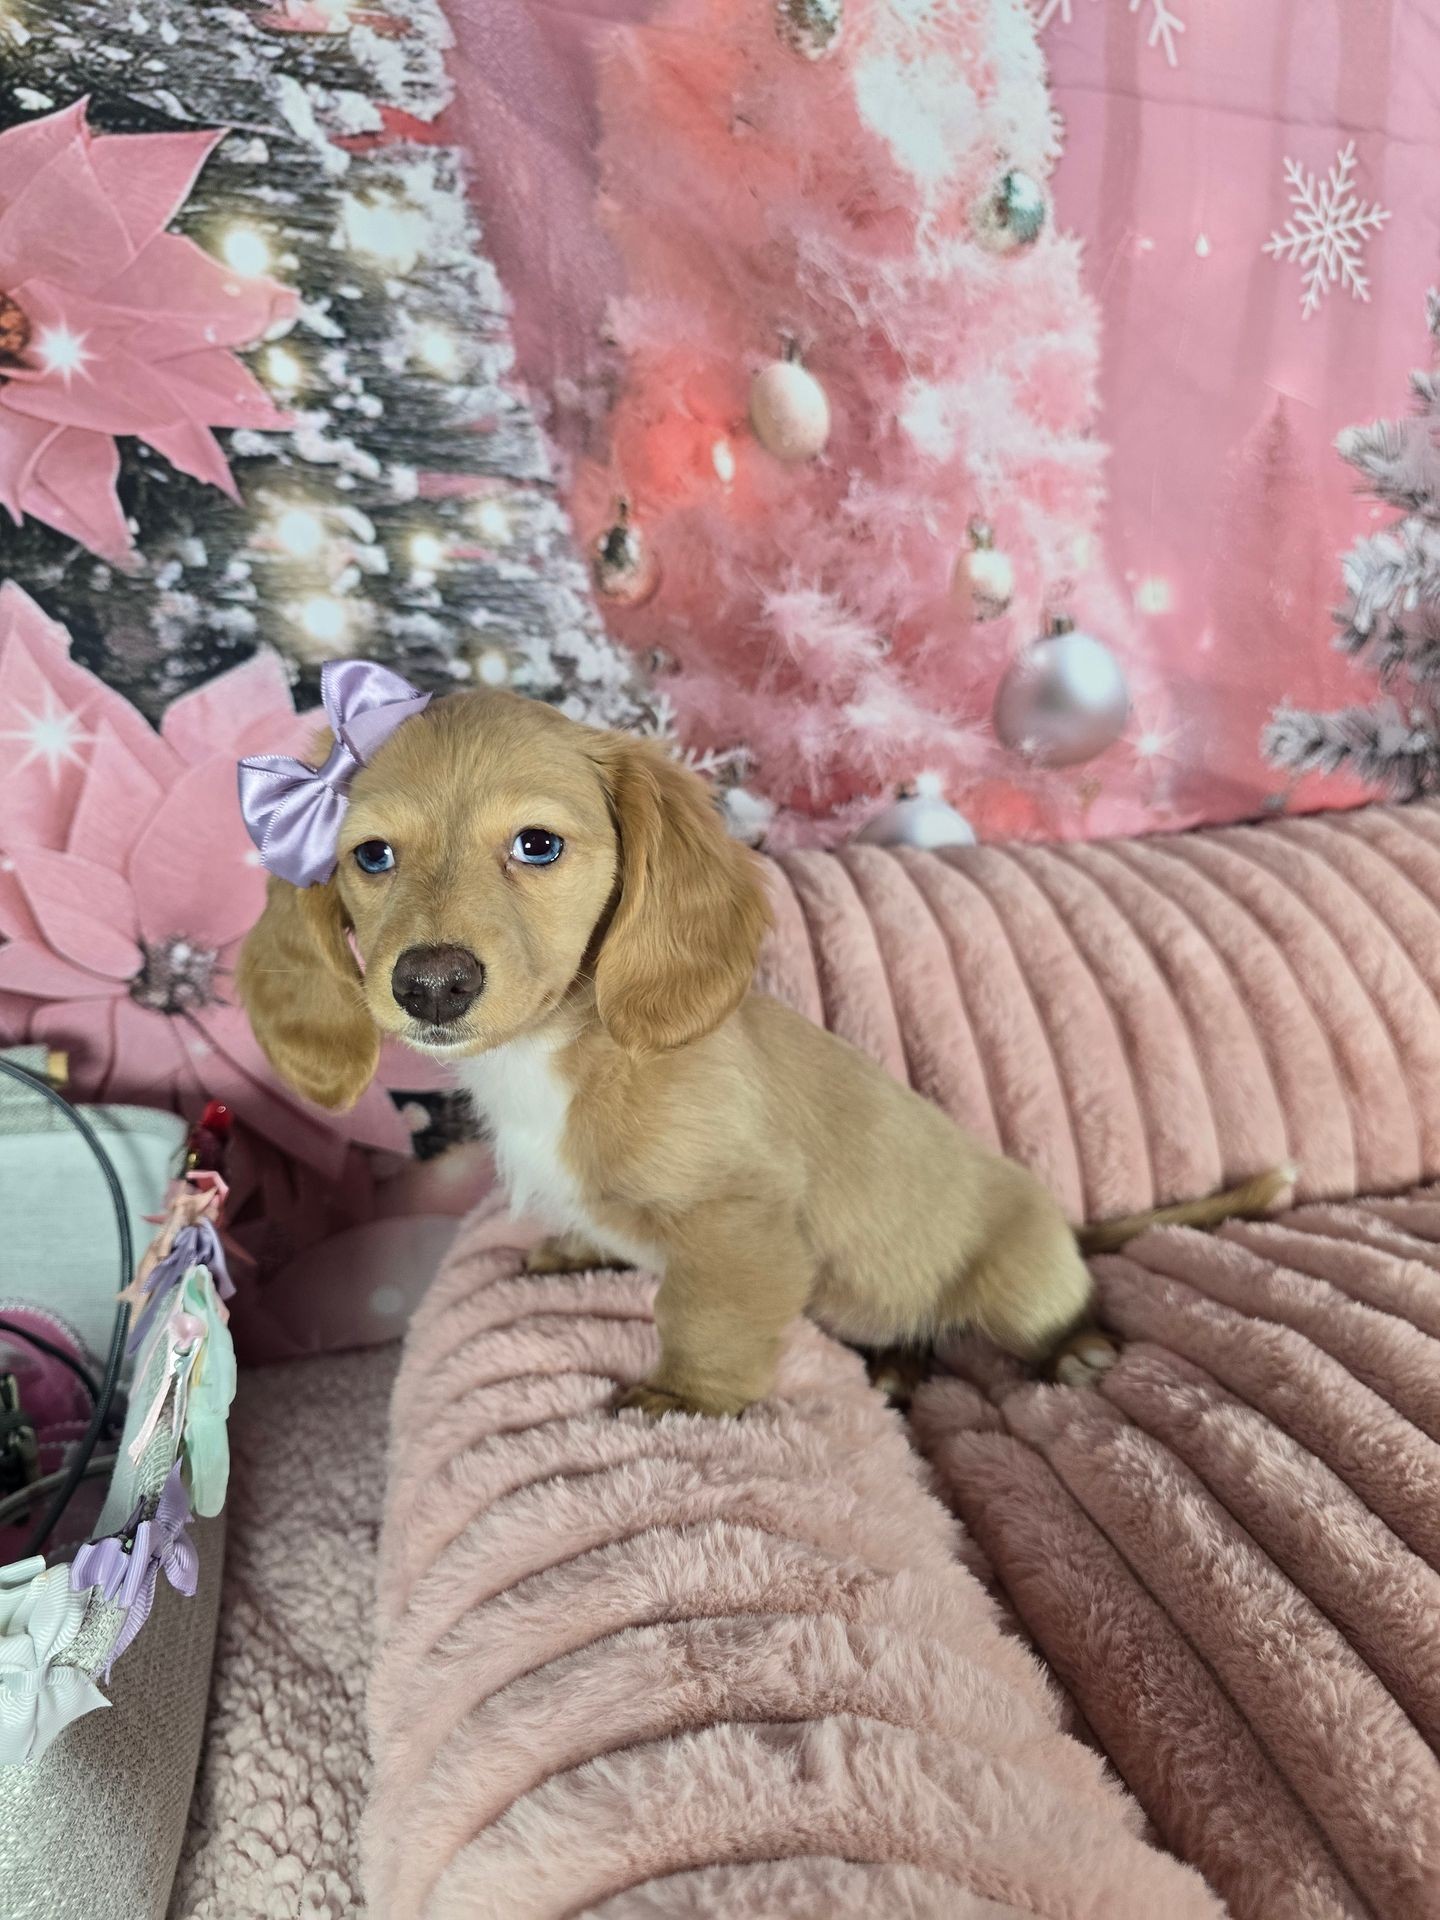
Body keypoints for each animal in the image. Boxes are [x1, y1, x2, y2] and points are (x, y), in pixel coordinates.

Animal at [238, 689, 1291, 1417]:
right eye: (371, 857)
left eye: (537, 845)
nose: (430, 984)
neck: (560, 1055)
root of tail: (1068, 1230)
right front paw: (582, 1244)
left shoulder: (741, 1222)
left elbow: (698, 1313)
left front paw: (685, 1397)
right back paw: (897, 1362)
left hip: (1017, 1283)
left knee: (1045, 1316)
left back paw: (1075, 1349)